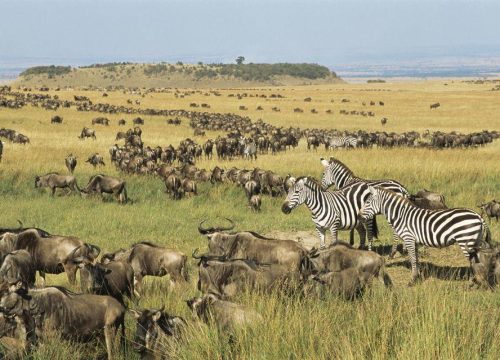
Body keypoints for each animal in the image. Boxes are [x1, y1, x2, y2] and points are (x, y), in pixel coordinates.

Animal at [360, 187, 492, 286]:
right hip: (476, 241)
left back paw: (472, 282)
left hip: (466, 241)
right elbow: (416, 259)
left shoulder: (409, 238)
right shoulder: (415, 242)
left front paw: (412, 280)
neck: (401, 215)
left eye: (367, 202)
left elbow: (413, 259)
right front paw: (417, 277)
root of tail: (478, 216)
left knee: (474, 261)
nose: (359, 216)